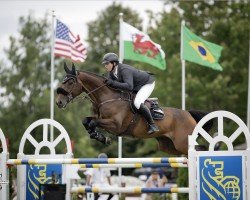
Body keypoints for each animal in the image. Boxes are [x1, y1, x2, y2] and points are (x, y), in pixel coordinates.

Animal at [55, 62, 212, 155]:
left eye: (70, 82)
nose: (58, 102)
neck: (106, 97)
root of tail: (188, 114)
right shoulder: (99, 118)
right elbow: (86, 121)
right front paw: (100, 137)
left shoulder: (116, 125)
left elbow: (93, 122)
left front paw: (101, 137)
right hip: (170, 146)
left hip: (183, 142)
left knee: (200, 149)